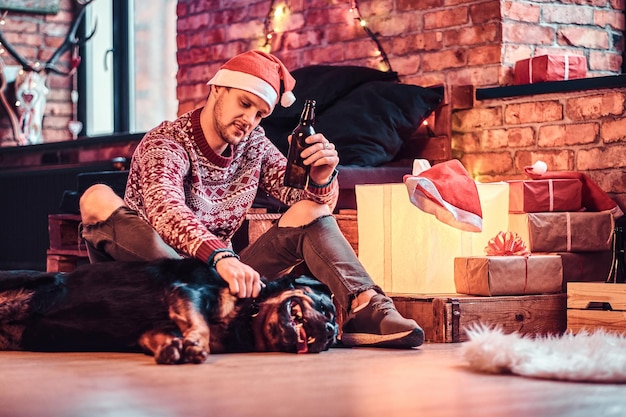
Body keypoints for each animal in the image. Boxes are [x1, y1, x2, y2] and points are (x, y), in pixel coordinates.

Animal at [0, 258, 336, 362]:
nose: (331, 331)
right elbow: (200, 324)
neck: (249, 315)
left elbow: (165, 335)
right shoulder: (186, 291)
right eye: (326, 309)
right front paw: (197, 344)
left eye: (331, 340)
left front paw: (174, 347)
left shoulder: (152, 329)